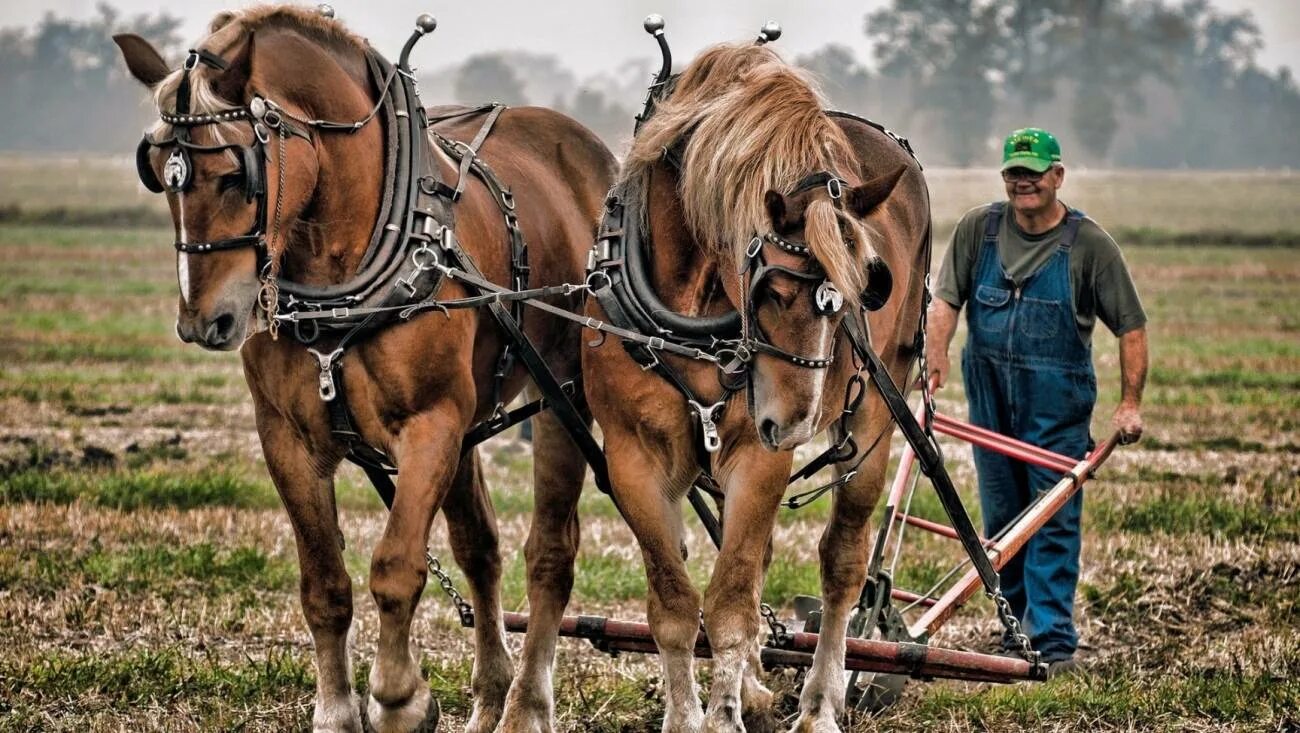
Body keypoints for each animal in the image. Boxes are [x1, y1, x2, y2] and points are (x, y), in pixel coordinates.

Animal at [115, 7, 613, 733]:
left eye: (236, 173)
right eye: (157, 171)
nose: (204, 321)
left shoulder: (431, 425)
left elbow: (396, 567)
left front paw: (400, 696)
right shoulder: (288, 438)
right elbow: (324, 584)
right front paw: (335, 709)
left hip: (561, 400)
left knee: (550, 553)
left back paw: (526, 706)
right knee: (479, 547)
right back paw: (491, 696)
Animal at [585, 42, 930, 727]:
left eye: (865, 286)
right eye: (771, 290)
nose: (794, 424)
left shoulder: (757, 453)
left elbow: (729, 603)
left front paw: (722, 716)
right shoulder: (631, 457)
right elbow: (676, 603)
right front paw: (691, 713)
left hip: (875, 419)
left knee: (842, 563)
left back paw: (820, 703)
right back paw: (756, 688)